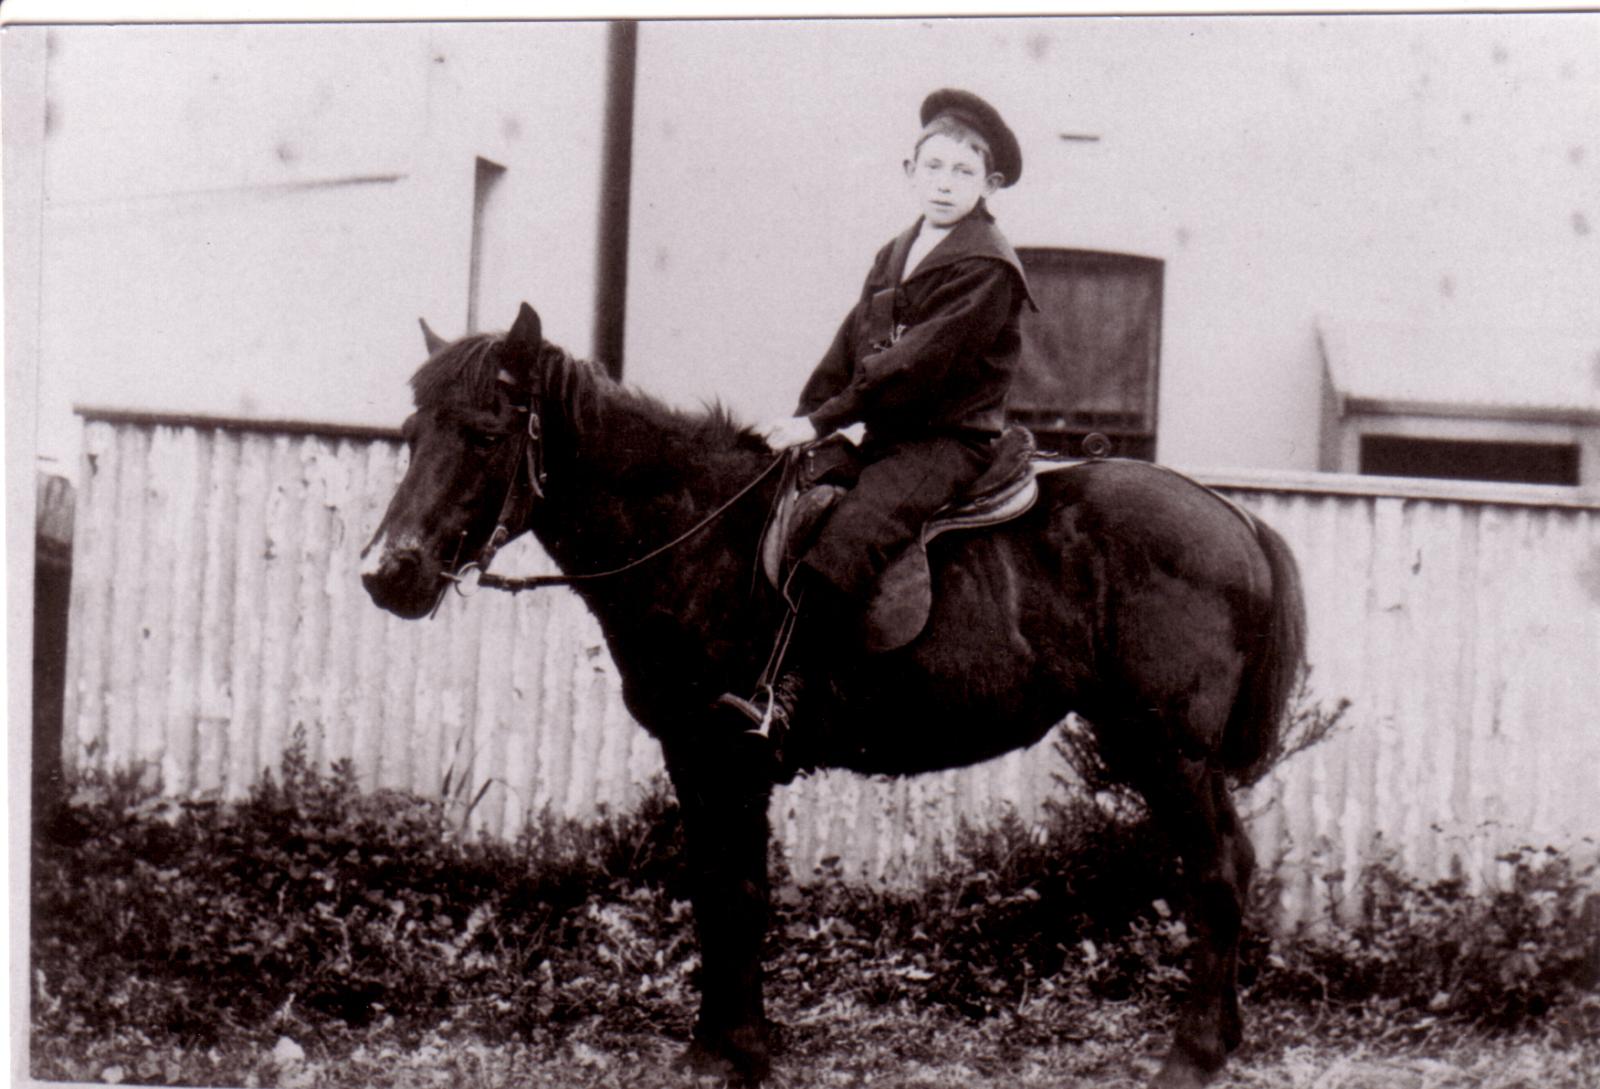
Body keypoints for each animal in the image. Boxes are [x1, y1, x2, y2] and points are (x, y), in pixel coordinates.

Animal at [366, 303, 1312, 1087]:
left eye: (485, 433)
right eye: (412, 431)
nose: (387, 573)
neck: (701, 535)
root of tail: (1233, 517)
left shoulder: (731, 756)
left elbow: (741, 894)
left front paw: (743, 1050)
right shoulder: (692, 756)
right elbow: (714, 889)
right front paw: (713, 1042)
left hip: (1167, 749)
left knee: (1216, 874)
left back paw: (1192, 1053)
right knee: (1232, 866)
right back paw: (1222, 1038)